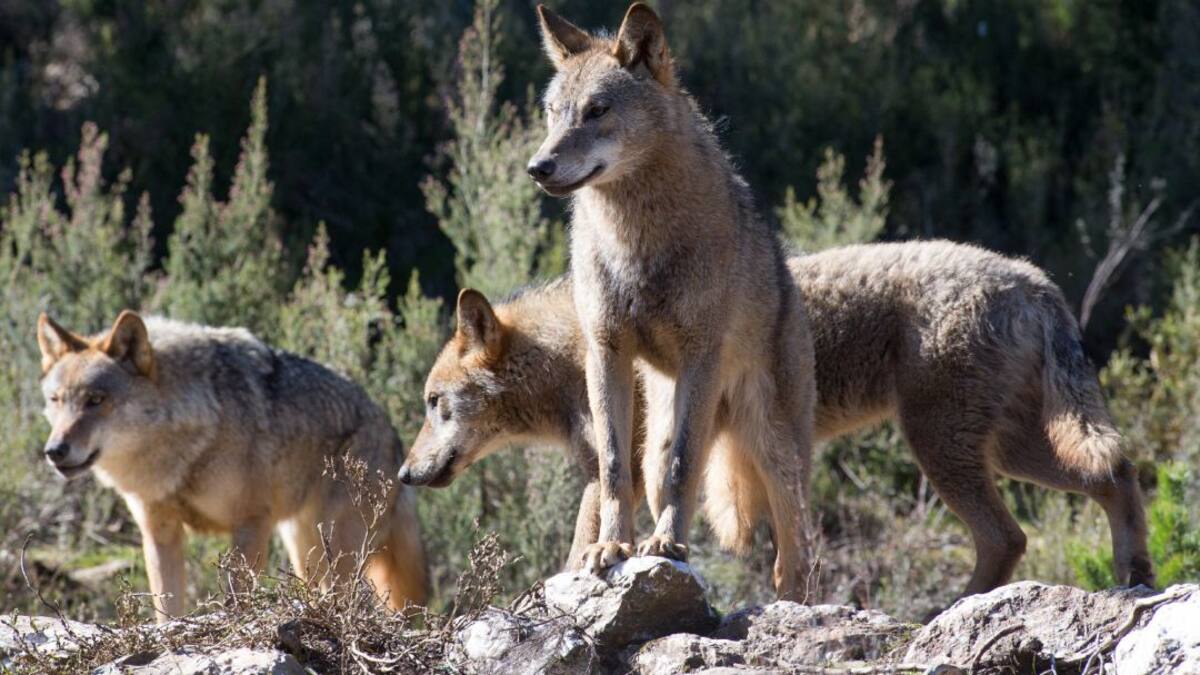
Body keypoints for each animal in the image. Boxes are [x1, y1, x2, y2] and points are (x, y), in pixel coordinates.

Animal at [37, 310, 427, 622]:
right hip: (306, 553)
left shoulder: (251, 525)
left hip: (337, 554)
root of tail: (392, 434)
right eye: (55, 401)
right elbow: (167, 610)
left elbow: (236, 600)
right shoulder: (160, 533)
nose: (55, 450)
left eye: (96, 400)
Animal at [400, 241, 1154, 601]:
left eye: (434, 404)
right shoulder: (617, 473)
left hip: (946, 450)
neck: (573, 352)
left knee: (1008, 535)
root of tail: (1035, 279)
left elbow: (582, 547)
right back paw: (1134, 574)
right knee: (1116, 475)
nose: (404, 473)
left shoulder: (622, 472)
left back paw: (947, 612)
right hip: (1012, 450)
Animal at [524, 2, 819, 600]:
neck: (635, 242)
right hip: (661, 431)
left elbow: (686, 467)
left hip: (775, 453)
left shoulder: (700, 354)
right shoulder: (605, 353)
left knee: (793, 560)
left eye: (597, 110)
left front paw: (665, 546)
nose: (537, 168)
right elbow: (613, 470)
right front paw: (611, 547)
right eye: (552, 113)